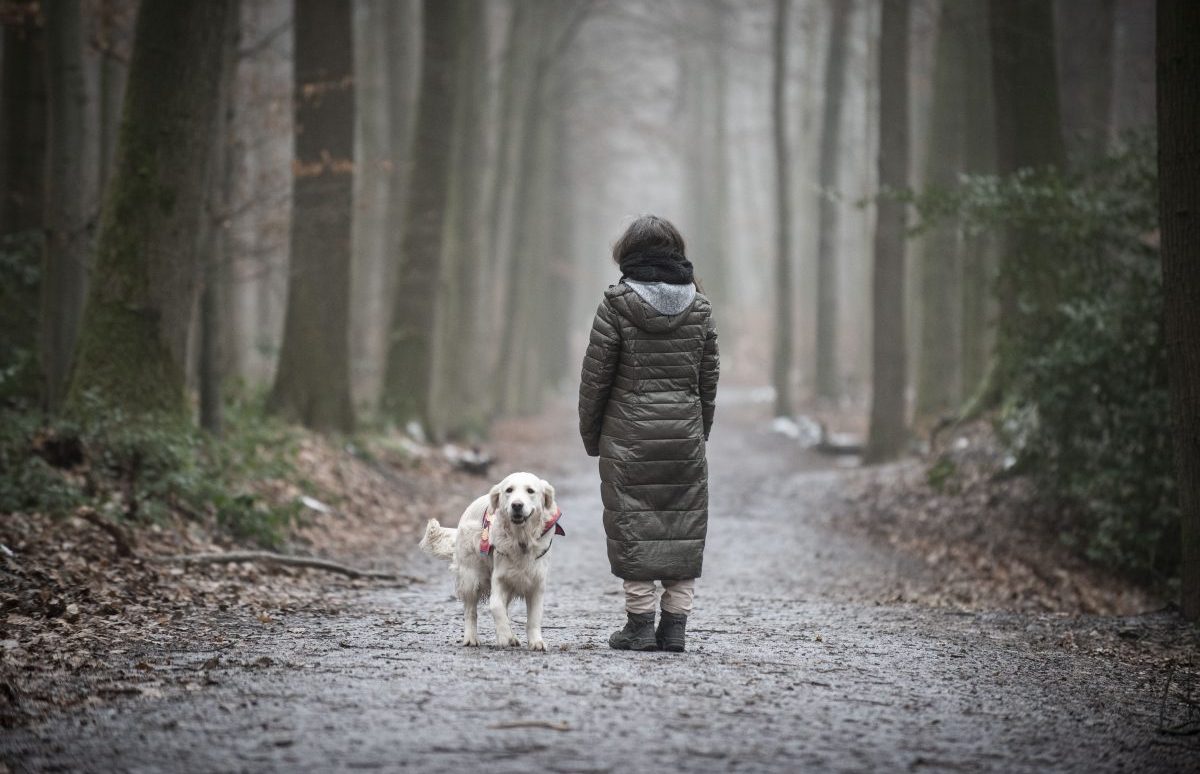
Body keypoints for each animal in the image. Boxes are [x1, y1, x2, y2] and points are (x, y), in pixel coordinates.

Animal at [420, 470, 564, 648]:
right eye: (509, 490)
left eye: (530, 491)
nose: (517, 505)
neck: (520, 540)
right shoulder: (499, 579)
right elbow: (496, 607)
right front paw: (504, 636)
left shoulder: (536, 584)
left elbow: (534, 618)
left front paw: (536, 642)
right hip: (470, 578)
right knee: (470, 611)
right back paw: (471, 638)